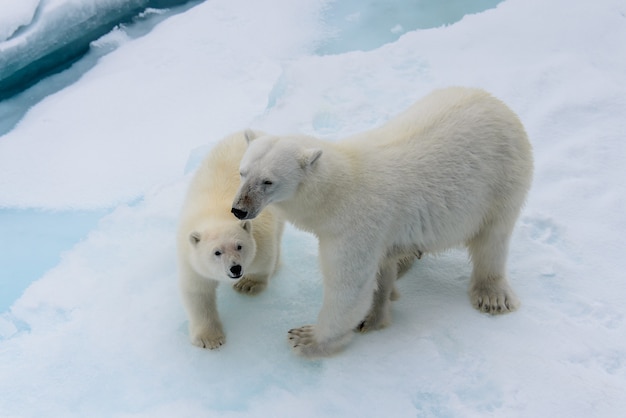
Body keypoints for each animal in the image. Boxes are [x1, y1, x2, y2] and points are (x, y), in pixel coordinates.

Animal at [230, 86, 532, 358]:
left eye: (268, 181)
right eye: (242, 172)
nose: (238, 210)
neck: (339, 189)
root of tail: (498, 104)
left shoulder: (356, 225)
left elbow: (349, 285)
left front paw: (309, 338)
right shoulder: (377, 230)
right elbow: (379, 271)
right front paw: (374, 315)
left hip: (501, 182)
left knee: (492, 239)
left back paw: (492, 296)